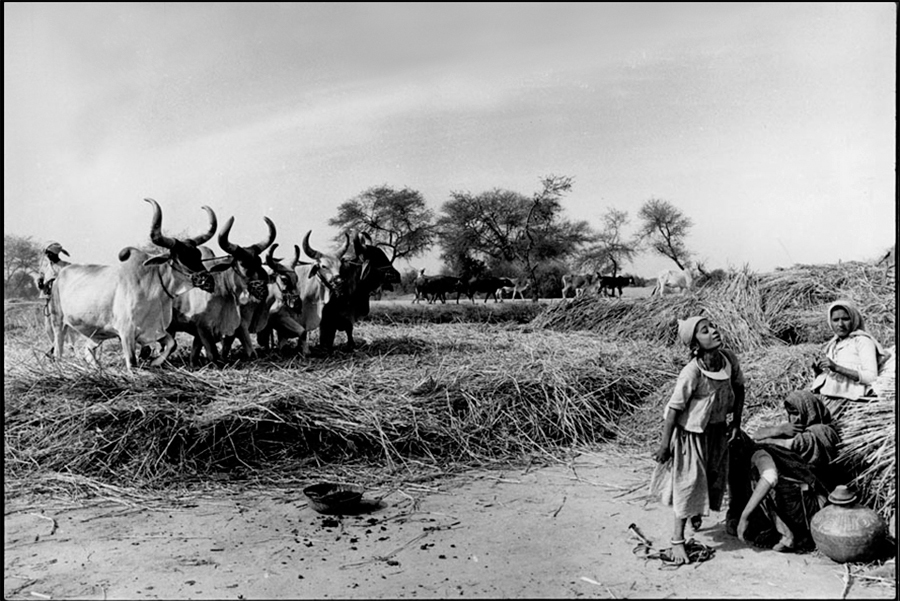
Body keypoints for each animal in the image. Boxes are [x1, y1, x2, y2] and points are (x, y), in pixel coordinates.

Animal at [50, 199, 230, 370]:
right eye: (179, 257)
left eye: (198, 255)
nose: (208, 280)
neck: (153, 290)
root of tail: (61, 274)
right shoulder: (126, 332)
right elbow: (132, 362)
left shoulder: (155, 331)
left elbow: (172, 344)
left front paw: (155, 362)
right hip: (58, 322)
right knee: (58, 350)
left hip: (98, 332)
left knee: (87, 350)